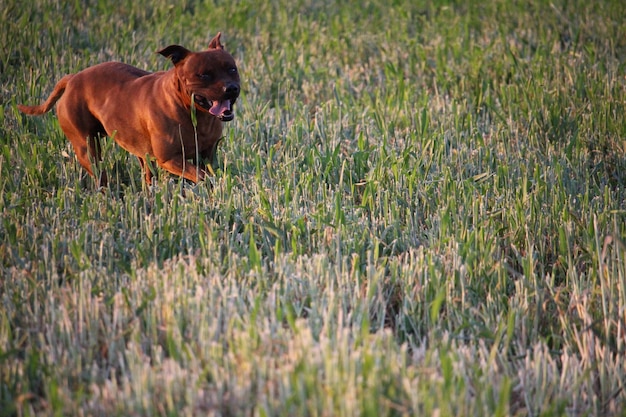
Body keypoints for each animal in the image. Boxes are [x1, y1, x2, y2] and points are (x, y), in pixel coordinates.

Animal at [17, 33, 239, 186]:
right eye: (204, 75)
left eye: (232, 69)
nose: (231, 88)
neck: (193, 113)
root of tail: (72, 79)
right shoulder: (170, 159)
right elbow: (201, 176)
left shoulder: (207, 155)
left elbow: (206, 172)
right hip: (87, 149)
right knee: (100, 175)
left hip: (141, 153)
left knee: (147, 176)